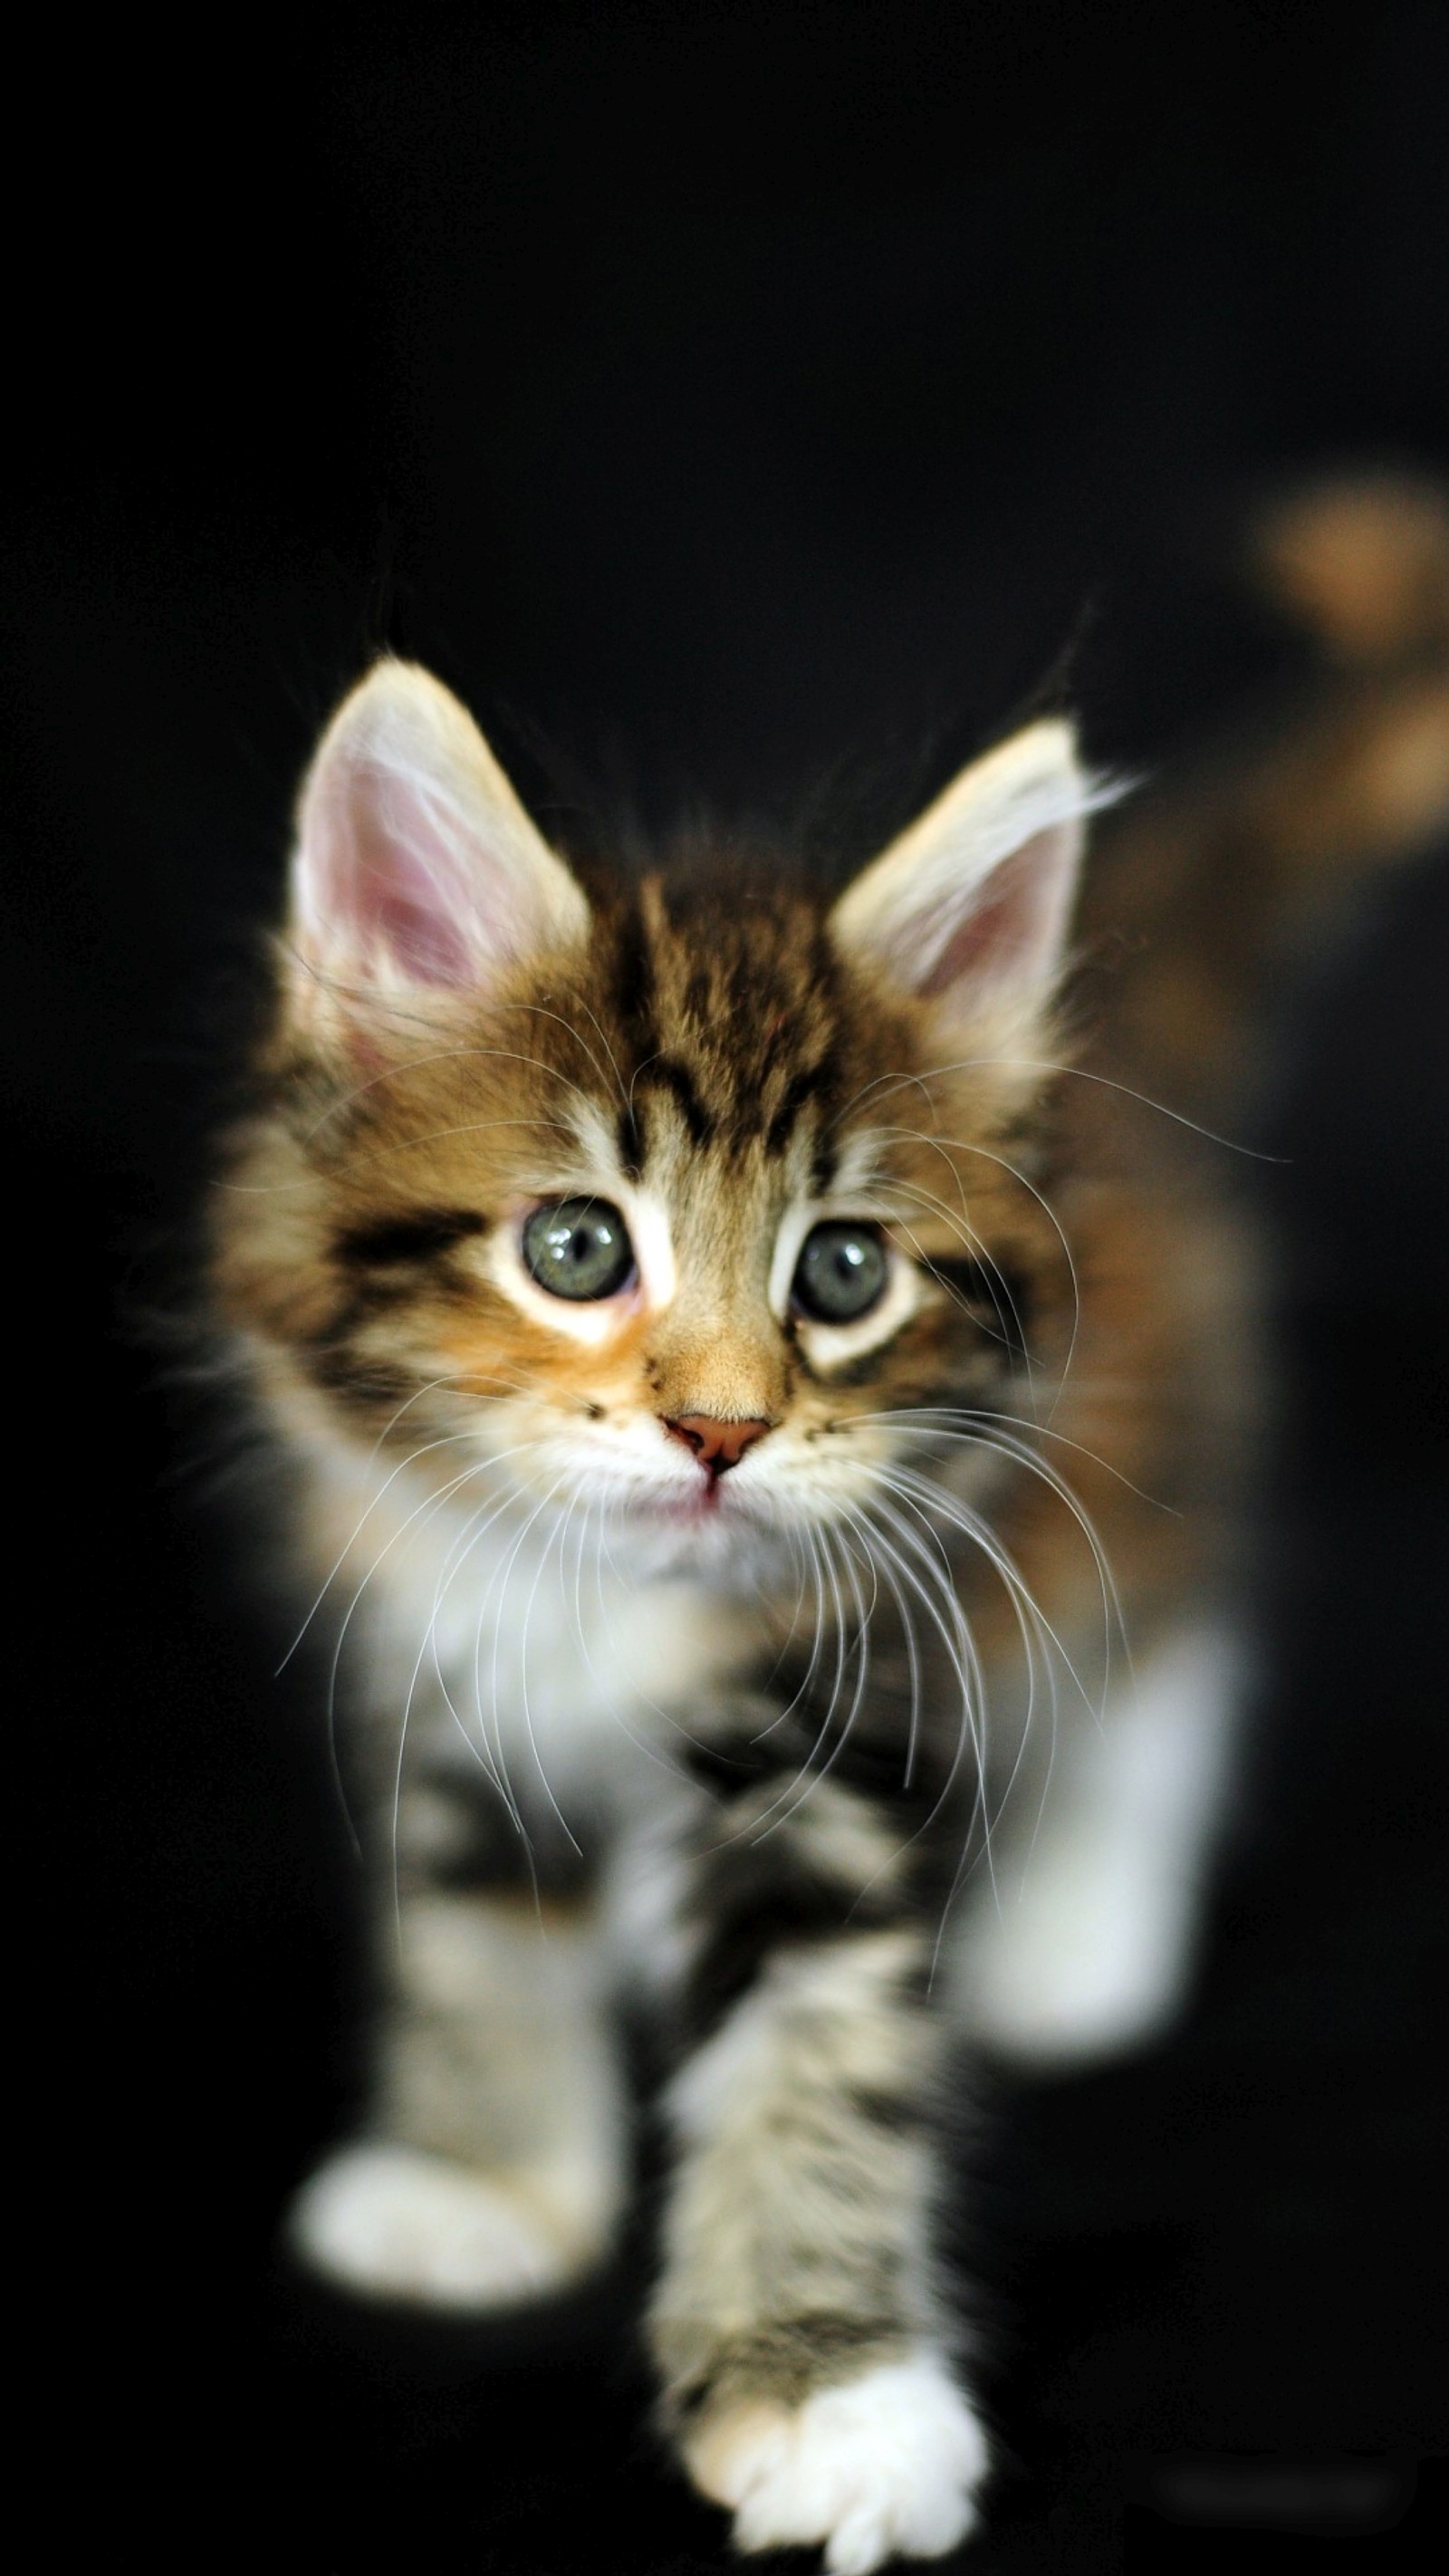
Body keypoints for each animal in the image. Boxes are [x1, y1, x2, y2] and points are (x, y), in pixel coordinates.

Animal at [206, 478, 1449, 2555]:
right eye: (574, 1247)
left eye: (843, 1272)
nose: (717, 1428)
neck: (615, 1613)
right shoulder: (438, 1644)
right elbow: (471, 1924)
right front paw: (478, 2178)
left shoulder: (848, 1712)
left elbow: (815, 2050)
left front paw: (825, 2392)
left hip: (1141, 1464)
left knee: (1167, 1658)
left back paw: (1080, 1931)